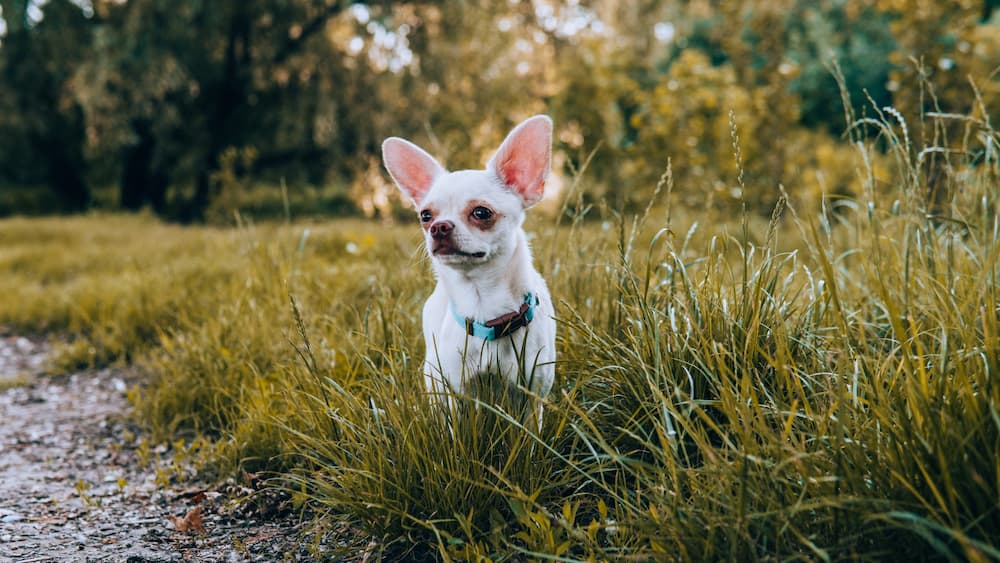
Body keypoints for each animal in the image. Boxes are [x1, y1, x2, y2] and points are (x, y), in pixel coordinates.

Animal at [380, 115, 556, 406]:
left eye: (481, 212)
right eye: (425, 216)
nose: (438, 227)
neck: (483, 301)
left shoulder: (533, 392)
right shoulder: (453, 392)